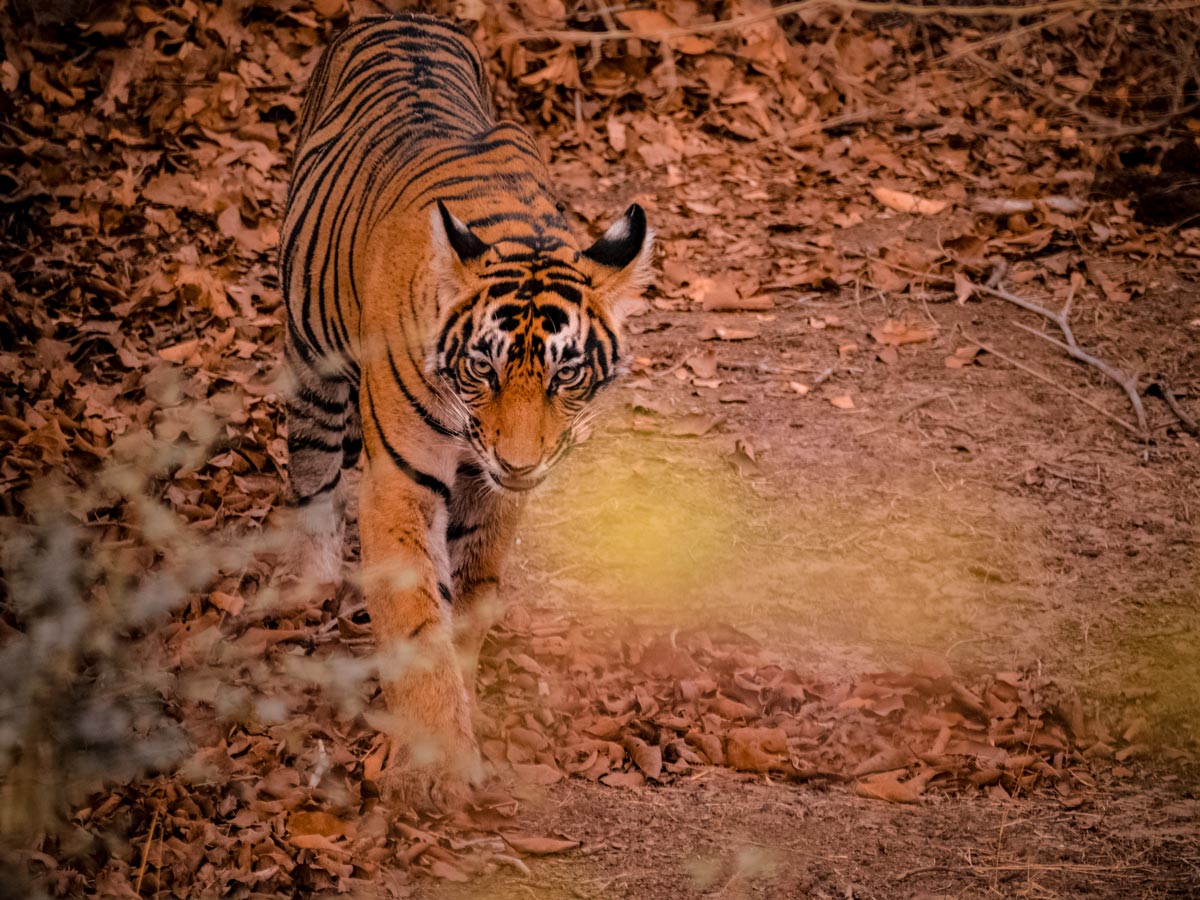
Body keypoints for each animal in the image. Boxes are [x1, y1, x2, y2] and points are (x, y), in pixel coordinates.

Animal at [276, 15, 652, 801]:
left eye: (566, 375)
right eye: (483, 368)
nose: (520, 461)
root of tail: (401, 15)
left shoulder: (496, 493)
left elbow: (472, 597)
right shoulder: (402, 482)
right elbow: (419, 619)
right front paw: (437, 762)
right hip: (310, 356)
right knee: (314, 472)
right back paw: (311, 583)